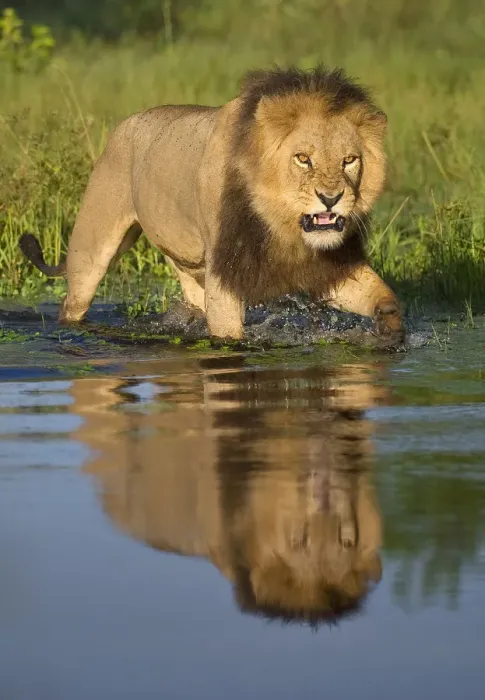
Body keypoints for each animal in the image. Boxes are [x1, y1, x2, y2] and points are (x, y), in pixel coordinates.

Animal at [20, 65, 403, 344]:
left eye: (349, 160)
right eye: (303, 159)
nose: (331, 198)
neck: (283, 225)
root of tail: (124, 125)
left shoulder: (330, 267)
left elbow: (383, 295)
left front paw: (390, 328)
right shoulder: (225, 271)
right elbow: (229, 336)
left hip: (187, 263)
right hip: (91, 251)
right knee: (73, 303)